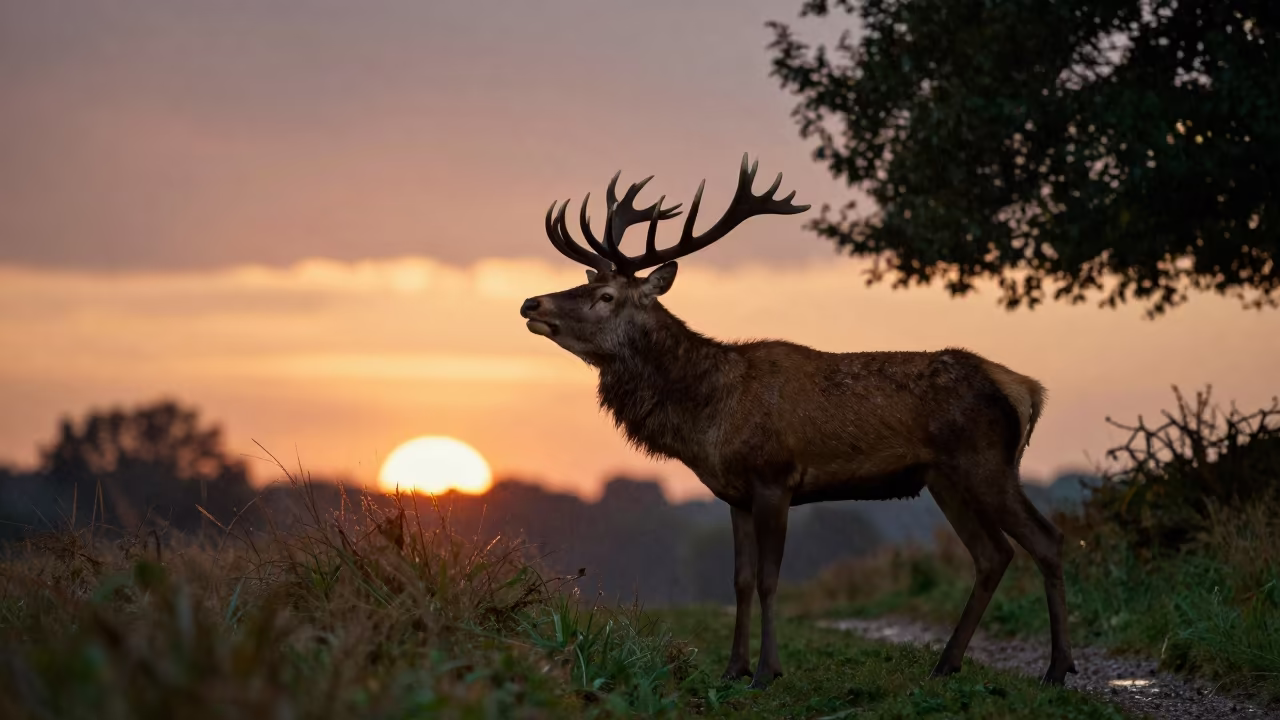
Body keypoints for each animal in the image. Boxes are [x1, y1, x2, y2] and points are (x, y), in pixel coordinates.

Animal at [519, 154, 1077, 689]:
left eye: (606, 297)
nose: (530, 301)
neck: (710, 415)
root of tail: (1026, 389)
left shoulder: (775, 477)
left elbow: (770, 578)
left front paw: (767, 672)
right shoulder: (735, 495)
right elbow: (741, 581)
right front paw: (733, 669)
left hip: (987, 463)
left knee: (1046, 539)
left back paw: (1057, 669)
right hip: (946, 478)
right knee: (992, 555)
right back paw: (947, 663)